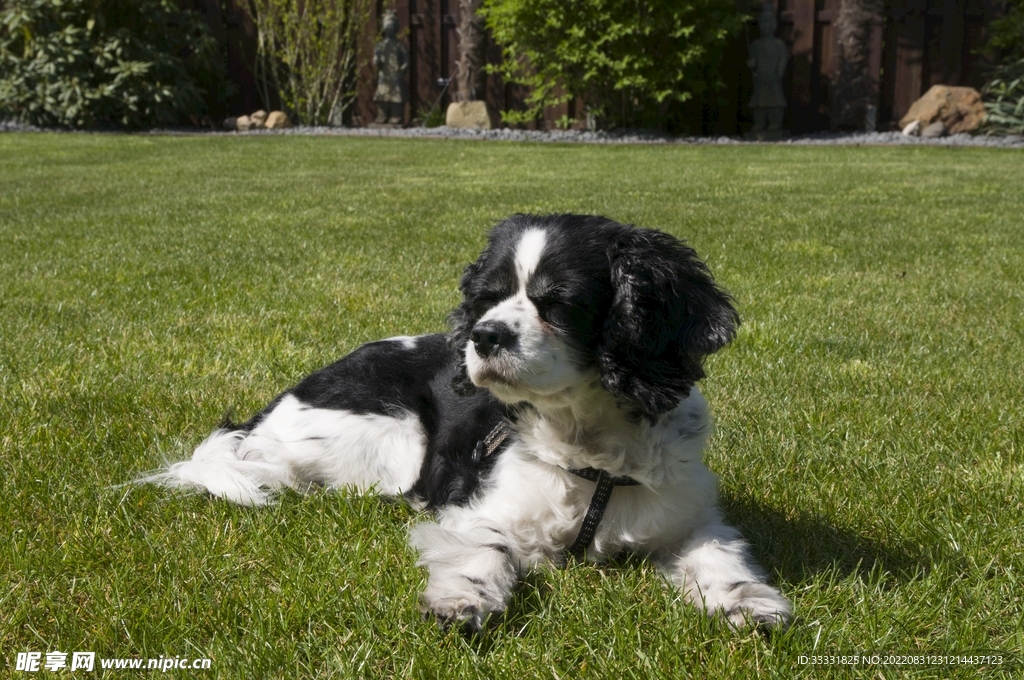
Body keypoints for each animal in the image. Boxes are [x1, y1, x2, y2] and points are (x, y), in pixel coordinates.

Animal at [148, 214, 790, 630]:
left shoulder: (690, 518)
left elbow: (719, 556)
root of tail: (274, 404)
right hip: (395, 438)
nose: (485, 335)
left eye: (558, 302)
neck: (589, 444)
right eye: (488, 297)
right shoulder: (476, 506)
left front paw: (751, 604)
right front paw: (463, 601)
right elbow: (483, 550)